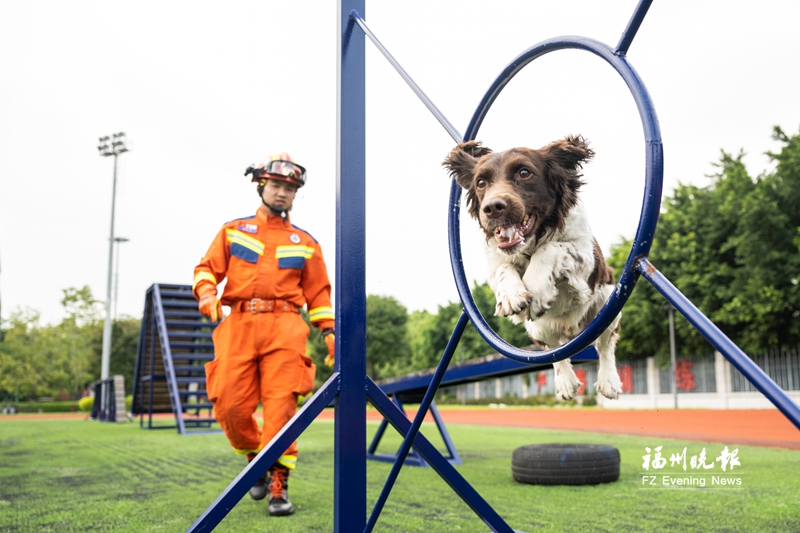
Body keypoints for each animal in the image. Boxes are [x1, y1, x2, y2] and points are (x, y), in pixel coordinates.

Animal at [444, 136, 624, 400]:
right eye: (481, 182)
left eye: (524, 172)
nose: (492, 207)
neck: (533, 239)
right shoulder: (495, 262)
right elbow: (504, 268)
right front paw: (511, 296)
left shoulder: (586, 257)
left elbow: (550, 248)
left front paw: (537, 289)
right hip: (536, 328)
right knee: (555, 350)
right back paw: (566, 383)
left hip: (608, 301)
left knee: (605, 343)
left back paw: (608, 381)